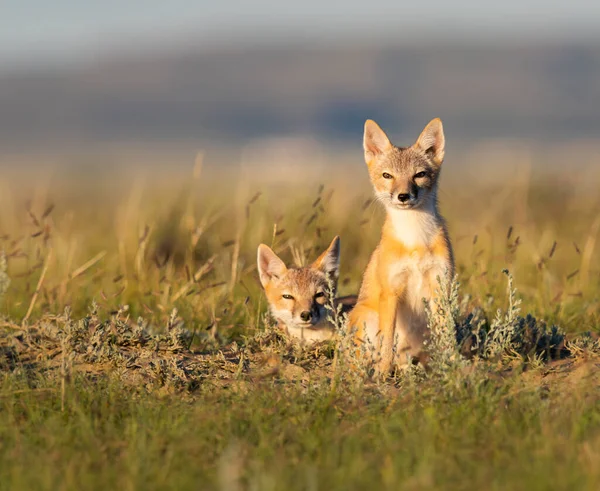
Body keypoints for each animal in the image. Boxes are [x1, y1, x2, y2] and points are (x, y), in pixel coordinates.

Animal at [346, 117, 454, 374]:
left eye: (419, 174)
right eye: (387, 175)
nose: (403, 196)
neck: (415, 240)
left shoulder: (440, 285)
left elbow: (448, 335)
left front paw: (454, 364)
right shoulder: (391, 291)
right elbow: (387, 341)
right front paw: (383, 372)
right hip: (368, 316)